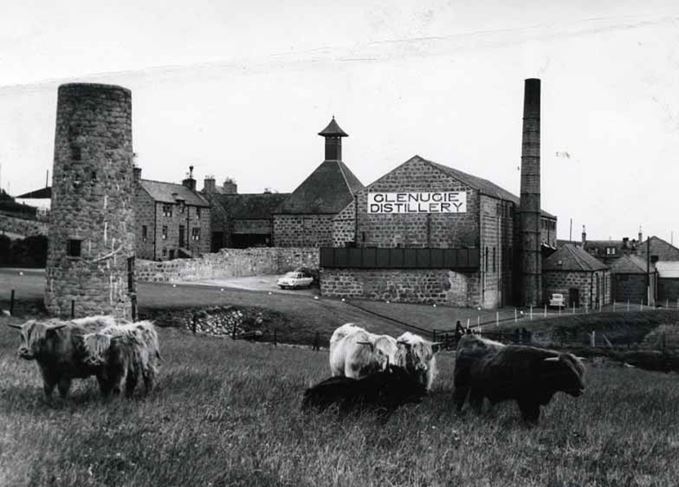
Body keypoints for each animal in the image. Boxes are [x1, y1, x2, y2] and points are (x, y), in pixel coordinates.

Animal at [454, 336, 588, 424]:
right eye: (568, 373)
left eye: (581, 371)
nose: (582, 388)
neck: (538, 366)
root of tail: (468, 338)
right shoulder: (525, 398)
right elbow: (530, 413)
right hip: (461, 384)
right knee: (459, 399)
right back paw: (458, 413)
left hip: (477, 388)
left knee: (475, 401)